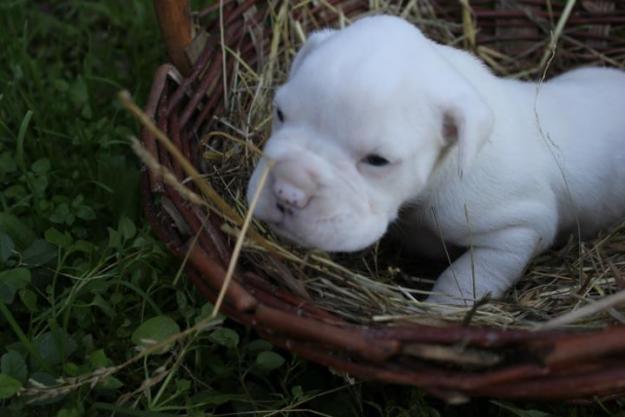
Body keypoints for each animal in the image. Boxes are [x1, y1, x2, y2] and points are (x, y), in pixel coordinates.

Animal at [246, 16, 624, 304]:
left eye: (378, 161)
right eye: (280, 113)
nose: (287, 192)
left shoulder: (519, 231)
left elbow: (465, 279)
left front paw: (440, 311)